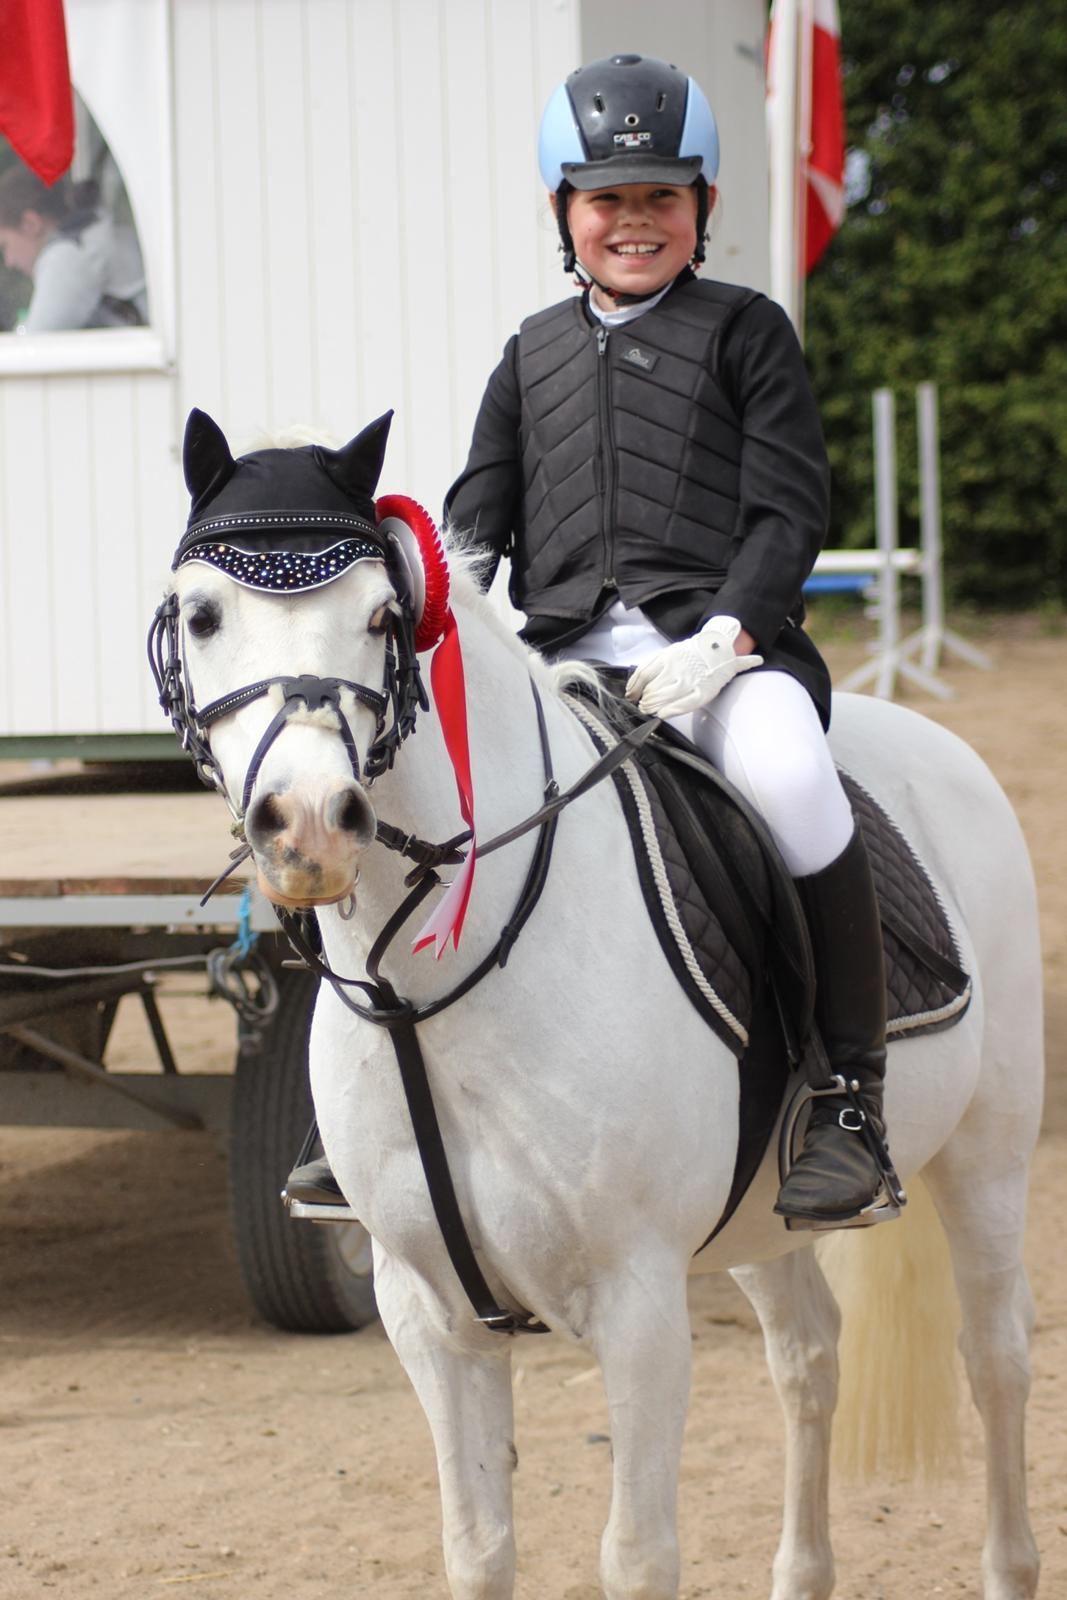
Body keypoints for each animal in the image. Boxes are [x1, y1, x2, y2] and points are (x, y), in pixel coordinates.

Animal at [156, 416, 1043, 1600]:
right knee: (808, 1360)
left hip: (986, 1154)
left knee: (995, 1358)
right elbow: (477, 1549)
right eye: (202, 614)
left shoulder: (637, 1301)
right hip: (763, 1217)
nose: (307, 823)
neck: (437, 998)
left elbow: (635, 1556)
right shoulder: (427, 1313)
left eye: (383, 617)